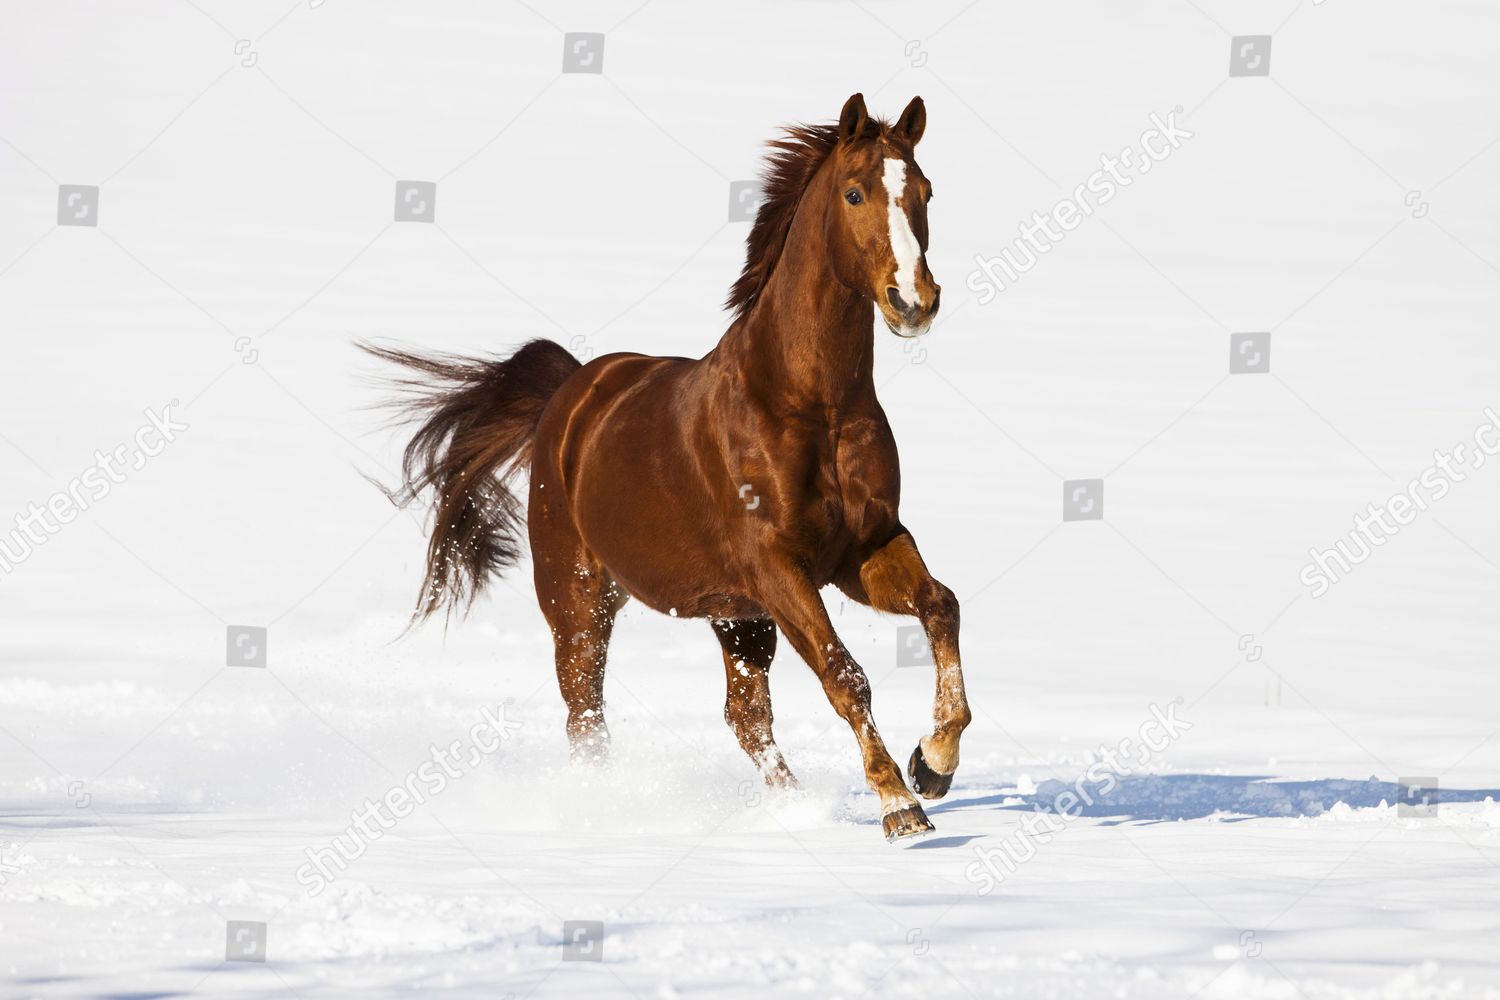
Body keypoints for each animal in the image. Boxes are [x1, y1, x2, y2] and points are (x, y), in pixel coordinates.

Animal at [363, 93, 971, 841]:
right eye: (855, 192)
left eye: (925, 191)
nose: (914, 301)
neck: (809, 404)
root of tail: (569, 399)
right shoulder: (778, 567)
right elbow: (844, 673)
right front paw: (898, 804)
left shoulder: (864, 549)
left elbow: (941, 607)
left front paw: (932, 764)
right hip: (579, 601)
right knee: (587, 718)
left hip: (736, 618)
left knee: (745, 717)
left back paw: (792, 807)